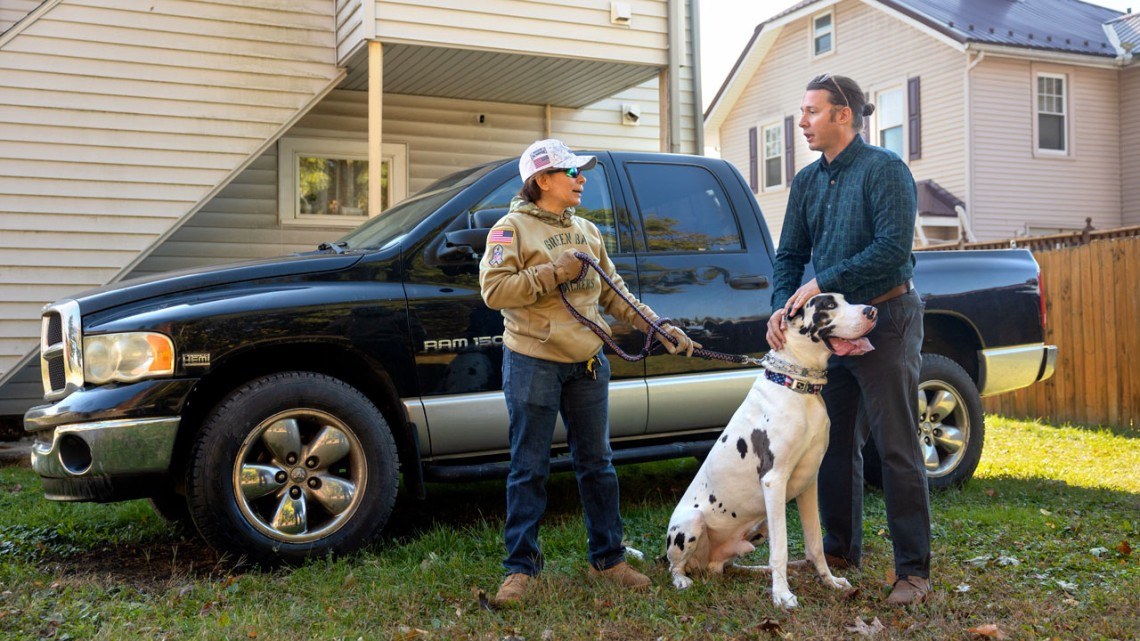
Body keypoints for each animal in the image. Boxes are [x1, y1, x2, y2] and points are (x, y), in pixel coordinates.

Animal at [665, 291, 875, 606]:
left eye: (845, 299)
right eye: (828, 305)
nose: (872, 311)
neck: (797, 385)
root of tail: (702, 564)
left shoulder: (809, 483)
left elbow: (815, 543)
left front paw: (830, 582)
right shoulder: (774, 481)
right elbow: (781, 549)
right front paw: (782, 595)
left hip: (757, 529)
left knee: (726, 566)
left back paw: (756, 571)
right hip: (690, 524)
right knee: (673, 565)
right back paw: (682, 580)